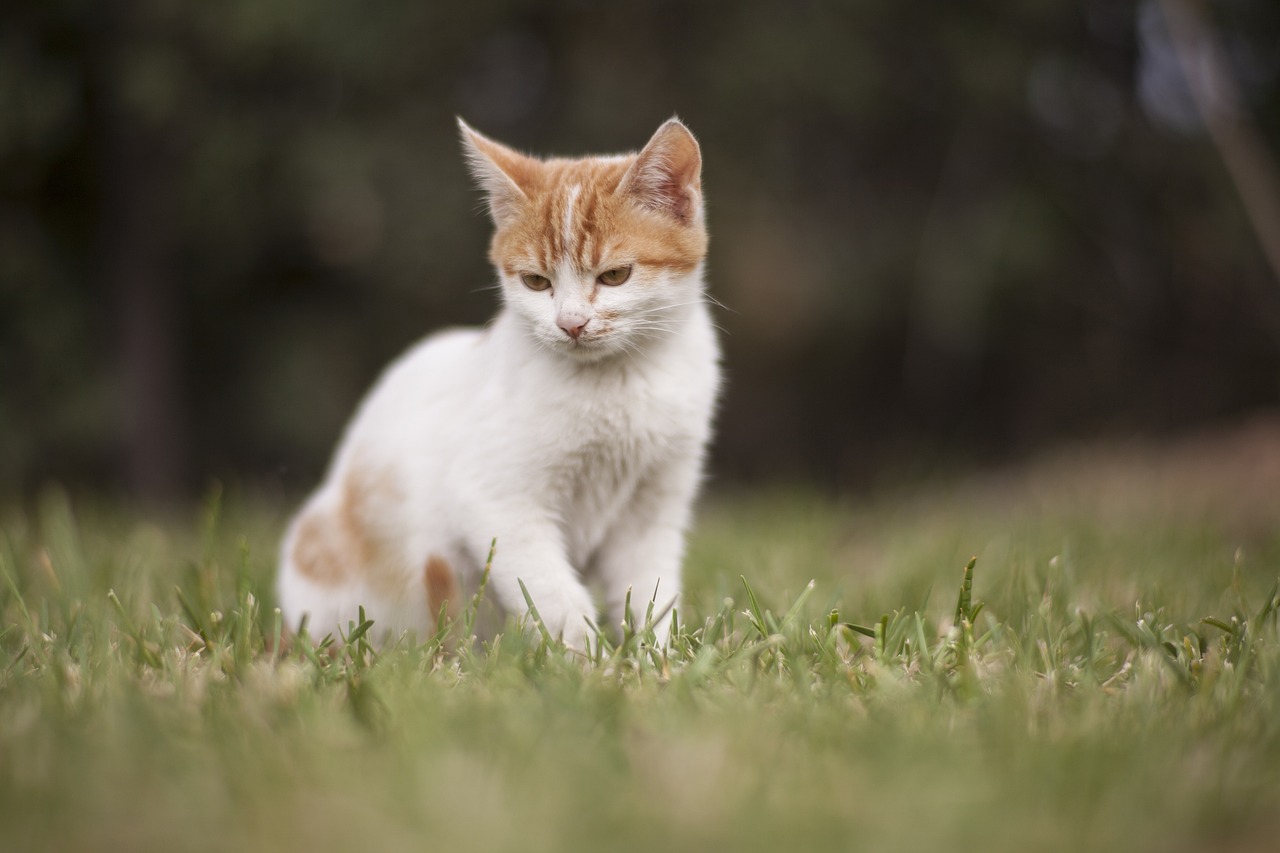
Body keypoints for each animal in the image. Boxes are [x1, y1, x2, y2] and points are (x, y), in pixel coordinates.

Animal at [276, 116, 721, 648]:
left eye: (615, 275)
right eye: (536, 282)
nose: (571, 324)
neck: (616, 382)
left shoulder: (653, 510)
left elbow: (651, 591)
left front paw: (656, 656)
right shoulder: (496, 503)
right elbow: (554, 595)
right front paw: (587, 658)